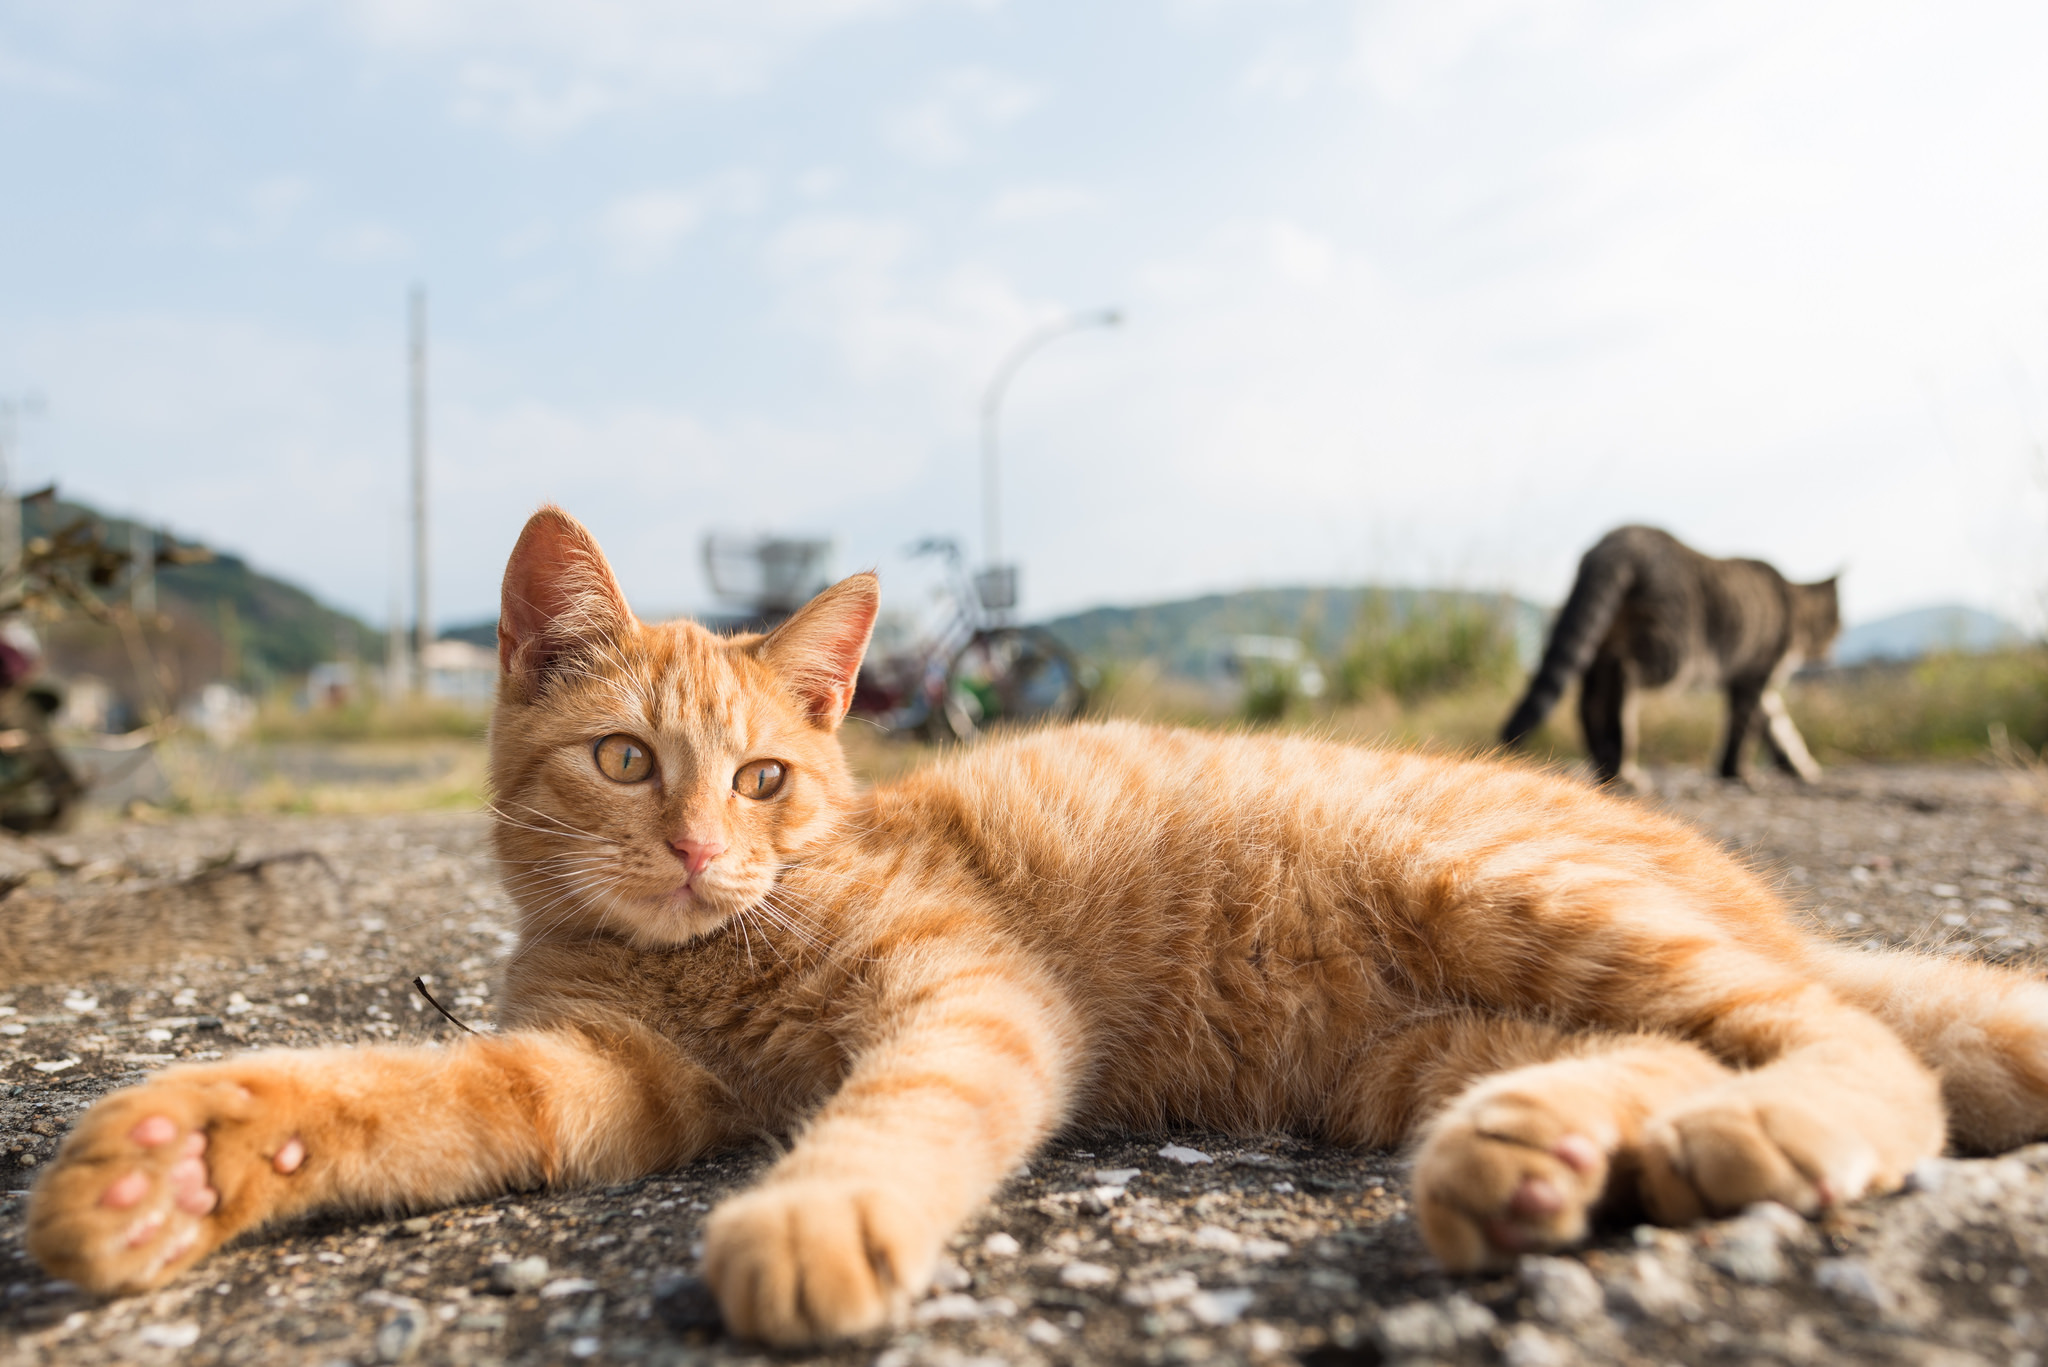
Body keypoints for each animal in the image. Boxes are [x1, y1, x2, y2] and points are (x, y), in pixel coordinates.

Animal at [1507, 528, 1843, 795]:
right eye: (1837, 622)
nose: (1834, 648)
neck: (1793, 602)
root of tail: (1624, 535)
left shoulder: (1752, 683)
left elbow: (1779, 729)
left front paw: (1800, 767)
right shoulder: (1754, 676)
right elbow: (1746, 728)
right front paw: (1736, 772)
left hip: (1599, 643)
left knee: (1588, 703)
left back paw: (1605, 768)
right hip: (1669, 650)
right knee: (1618, 688)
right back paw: (1622, 769)